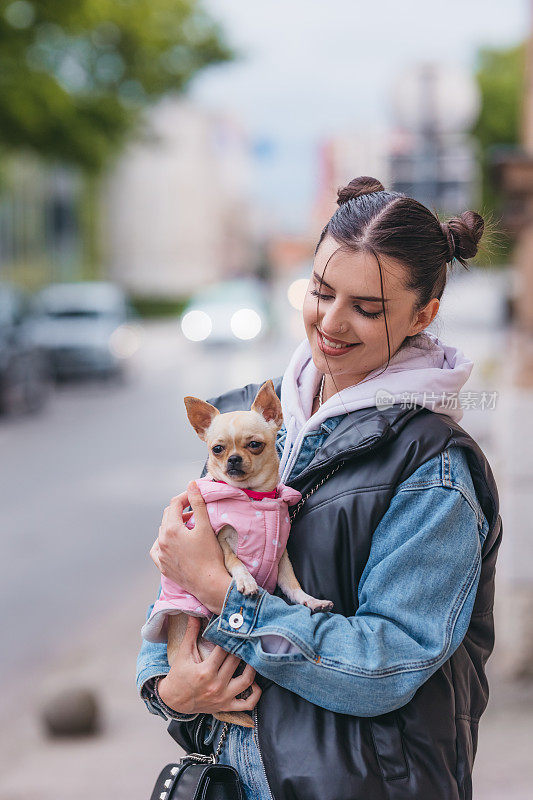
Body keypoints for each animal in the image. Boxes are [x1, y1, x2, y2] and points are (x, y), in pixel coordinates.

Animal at [141, 378, 332, 728]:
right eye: (217, 449)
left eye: (254, 445)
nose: (232, 459)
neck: (254, 499)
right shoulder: (220, 541)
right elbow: (235, 560)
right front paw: (245, 581)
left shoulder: (281, 554)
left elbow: (292, 585)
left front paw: (309, 601)